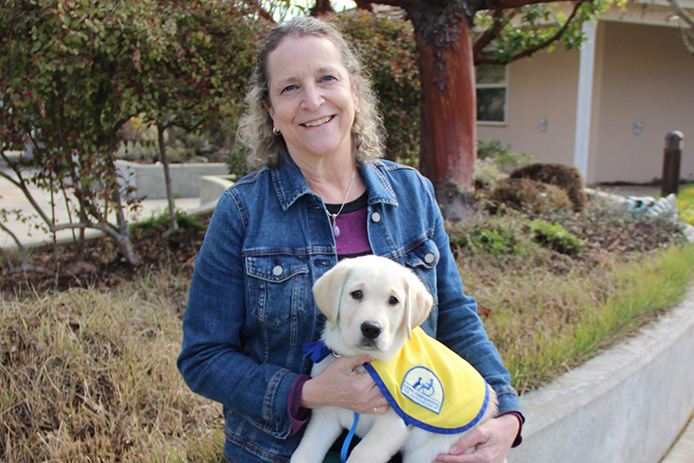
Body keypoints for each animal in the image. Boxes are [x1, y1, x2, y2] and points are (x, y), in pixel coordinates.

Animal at [290, 256, 502, 463]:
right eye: (356, 294)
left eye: (393, 300)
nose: (371, 329)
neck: (362, 364)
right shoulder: (325, 416)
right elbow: (303, 454)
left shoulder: (392, 426)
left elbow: (362, 452)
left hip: (430, 451)